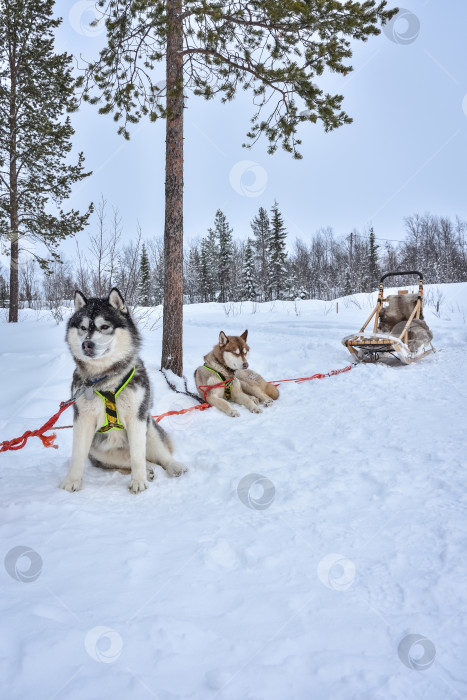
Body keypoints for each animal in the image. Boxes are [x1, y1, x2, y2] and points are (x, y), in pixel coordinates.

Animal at [61, 288, 187, 492]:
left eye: (104, 326)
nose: (86, 344)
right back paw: (149, 469)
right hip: (99, 451)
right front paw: (71, 481)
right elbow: (78, 455)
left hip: (149, 428)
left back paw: (172, 466)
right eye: (82, 327)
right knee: (126, 460)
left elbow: (137, 456)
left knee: (157, 456)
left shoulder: (137, 417)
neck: (105, 380)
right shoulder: (83, 420)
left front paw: (139, 482)